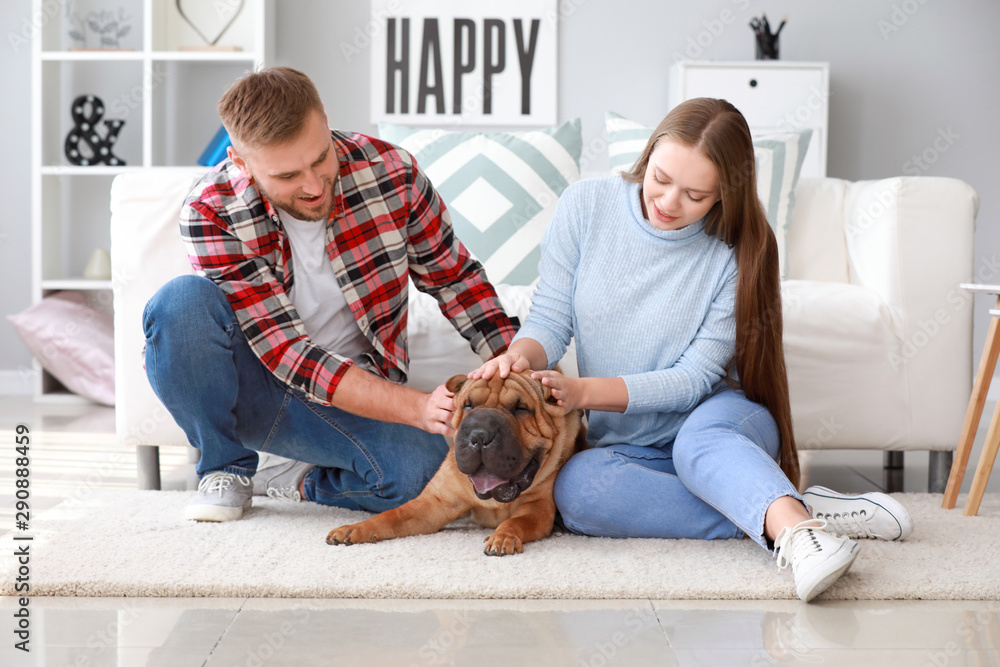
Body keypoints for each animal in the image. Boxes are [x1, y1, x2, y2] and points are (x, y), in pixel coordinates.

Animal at [326, 370, 584, 552]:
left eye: (521, 408)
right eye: (467, 405)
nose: (480, 435)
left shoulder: (538, 509)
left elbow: (516, 522)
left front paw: (503, 537)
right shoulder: (437, 501)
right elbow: (392, 516)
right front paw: (354, 528)